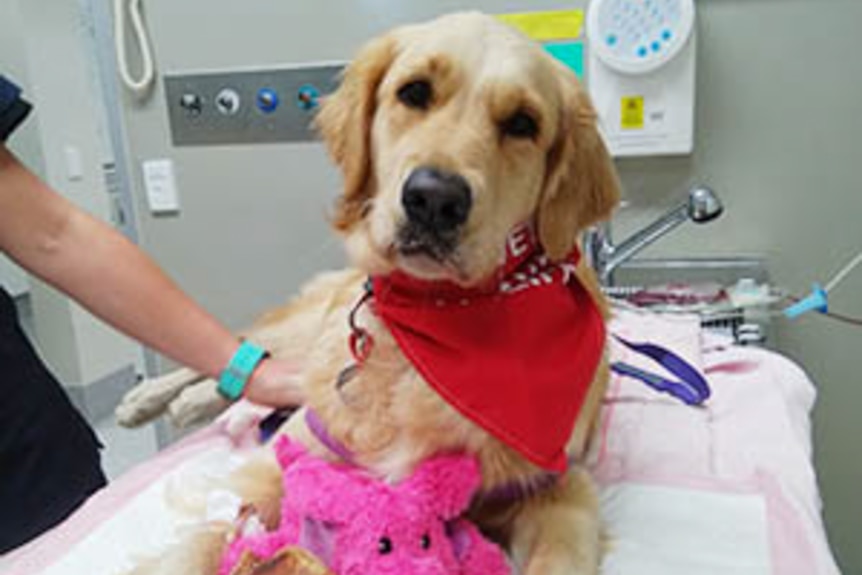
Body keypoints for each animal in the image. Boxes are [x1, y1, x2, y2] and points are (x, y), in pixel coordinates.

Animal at [121, 10, 620, 575]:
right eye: (414, 91)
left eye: (522, 124)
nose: (434, 199)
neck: (433, 321)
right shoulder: (287, 459)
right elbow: (198, 544)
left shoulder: (561, 490)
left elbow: (559, 553)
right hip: (302, 330)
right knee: (247, 343)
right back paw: (151, 397)